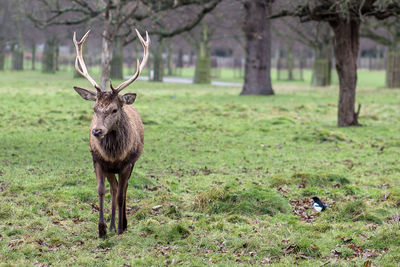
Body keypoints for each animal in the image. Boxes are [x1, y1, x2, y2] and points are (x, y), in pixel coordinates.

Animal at [72, 29, 150, 239]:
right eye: (94, 108)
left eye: (114, 109)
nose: (97, 130)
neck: (114, 155)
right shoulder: (98, 161)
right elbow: (102, 190)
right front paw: (102, 228)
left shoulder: (127, 163)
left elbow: (122, 194)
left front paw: (121, 228)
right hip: (109, 169)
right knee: (114, 189)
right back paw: (113, 223)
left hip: (132, 164)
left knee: (123, 189)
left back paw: (122, 224)